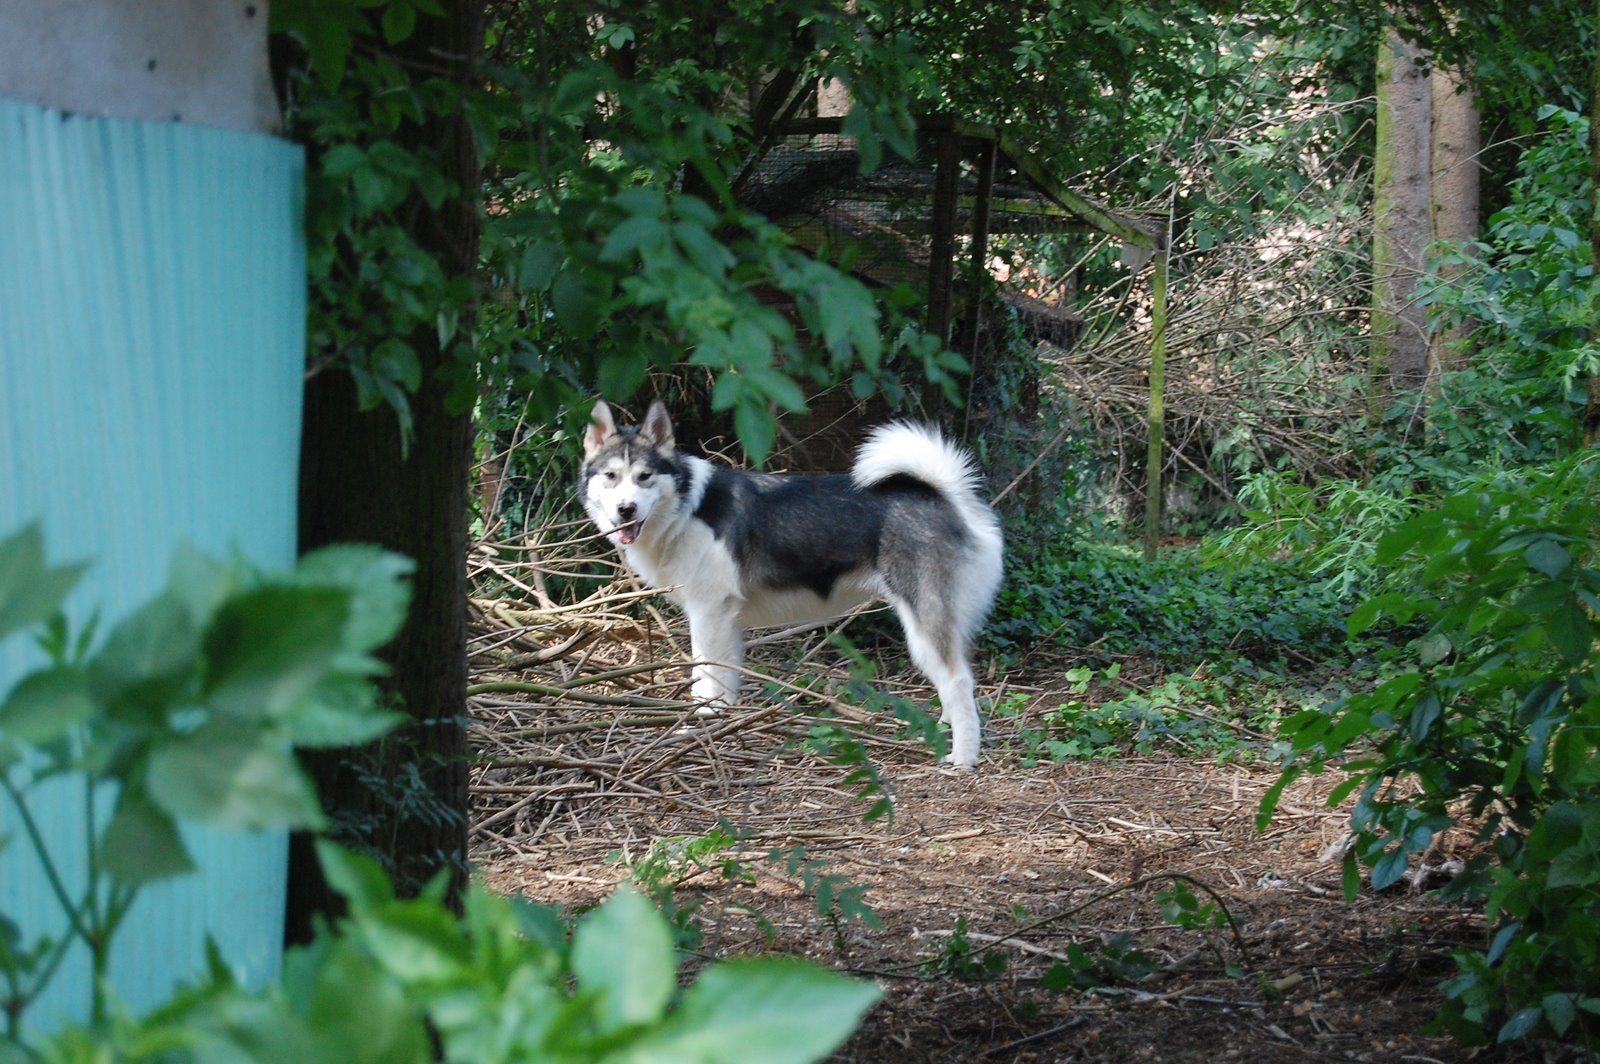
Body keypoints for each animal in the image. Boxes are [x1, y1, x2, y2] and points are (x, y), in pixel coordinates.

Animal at [579, 399, 1004, 770]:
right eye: (611, 477)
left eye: (645, 477)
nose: (626, 509)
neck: (686, 508)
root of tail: (946, 495)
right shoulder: (724, 620)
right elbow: (720, 679)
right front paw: (717, 723)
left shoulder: (708, 614)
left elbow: (708, 677)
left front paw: (702, 721)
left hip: (923, 623)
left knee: (958, 681)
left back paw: (963, 757)